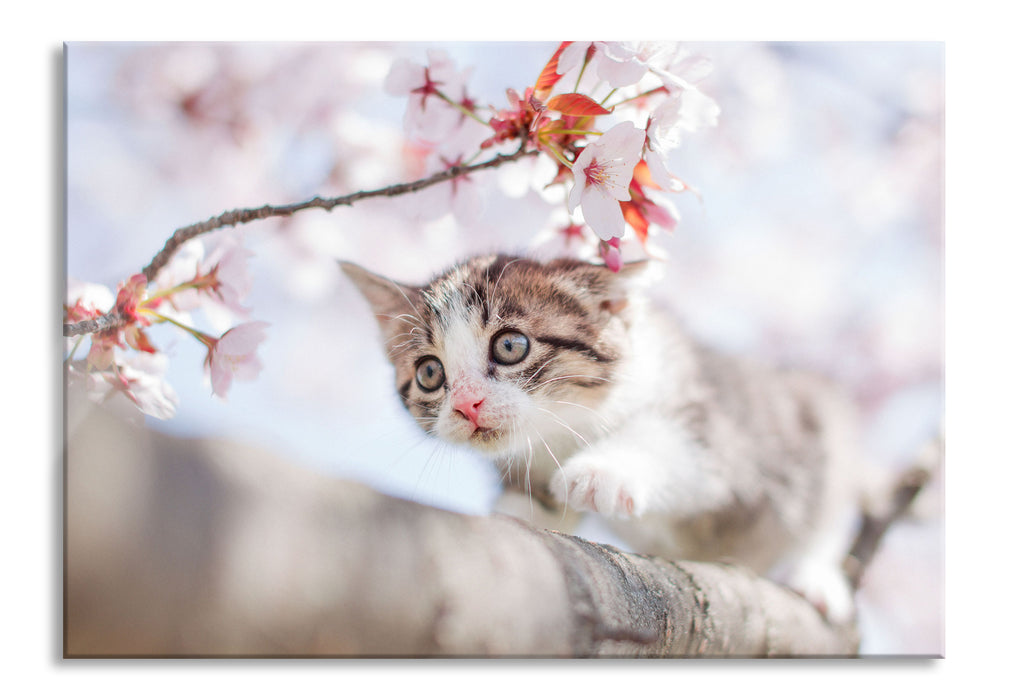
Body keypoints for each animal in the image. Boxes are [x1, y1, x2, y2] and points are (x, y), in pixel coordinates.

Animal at [343, 255, 863, 621]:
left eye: (510, 345)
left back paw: (815, 576)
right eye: (430, 373)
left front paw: (600, 472)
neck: (566, 424)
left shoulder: (715, 423)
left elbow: (673, 440)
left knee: (824, 507)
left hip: (816, 425)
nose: (467, 404)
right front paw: (515, 513)